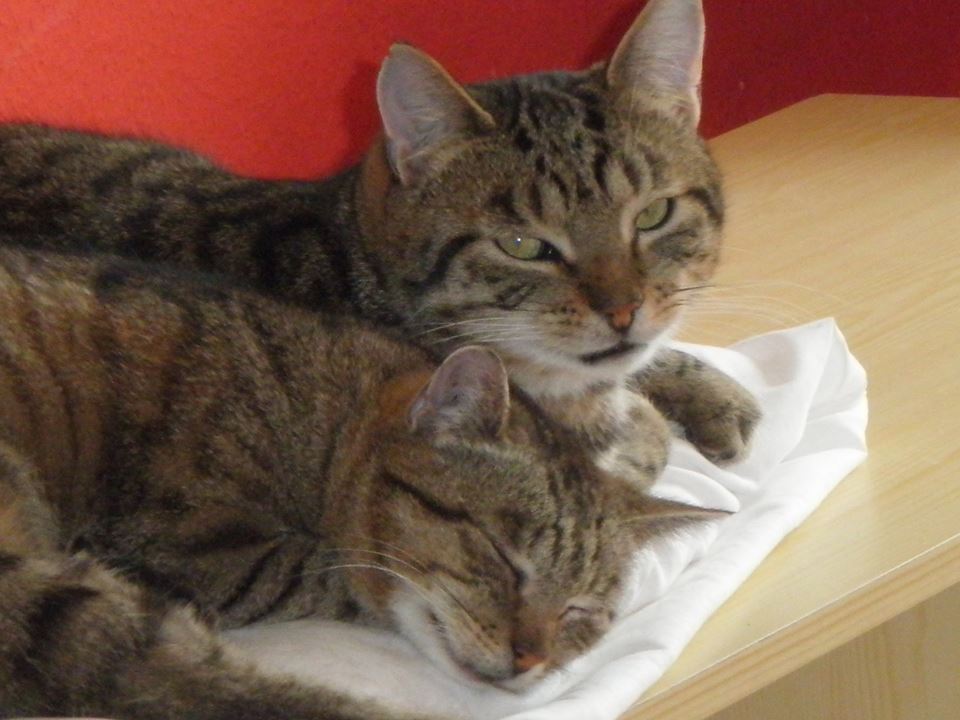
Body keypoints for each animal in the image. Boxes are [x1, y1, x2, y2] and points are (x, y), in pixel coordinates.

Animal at [0, 247, 720, 719]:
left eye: (581, 612)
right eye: (505, 561)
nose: (530, 661)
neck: (328, 413)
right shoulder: (206, 550)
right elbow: (336, 576)